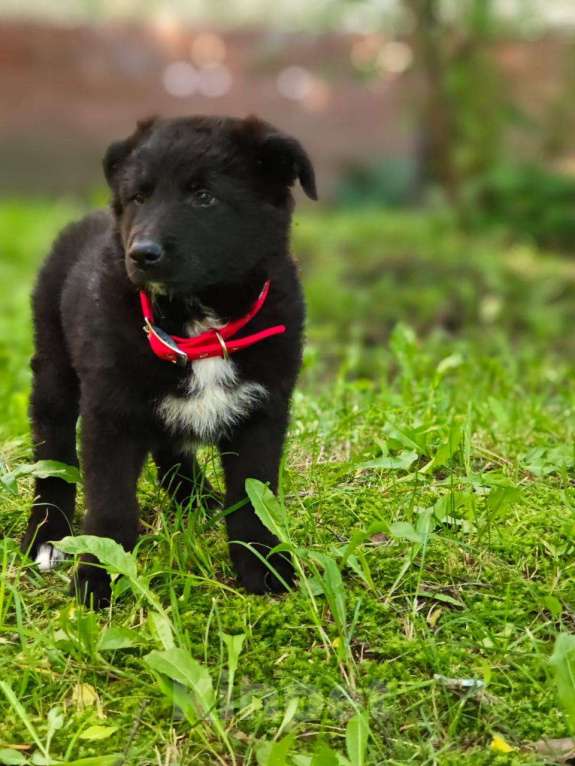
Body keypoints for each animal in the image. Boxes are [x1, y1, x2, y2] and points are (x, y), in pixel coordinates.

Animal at [22, 115, 318, 608]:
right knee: (54, 457)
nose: (141, 253)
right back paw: (46, 535)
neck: (199, 327)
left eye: (204, 196)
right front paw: (98, 578)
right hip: (54, 368)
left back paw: (196, 498)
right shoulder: (111, 412)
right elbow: (110, 505)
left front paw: (262, 567)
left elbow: (253, 496)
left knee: (169, 443)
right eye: (139, 197)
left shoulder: (263, 409)